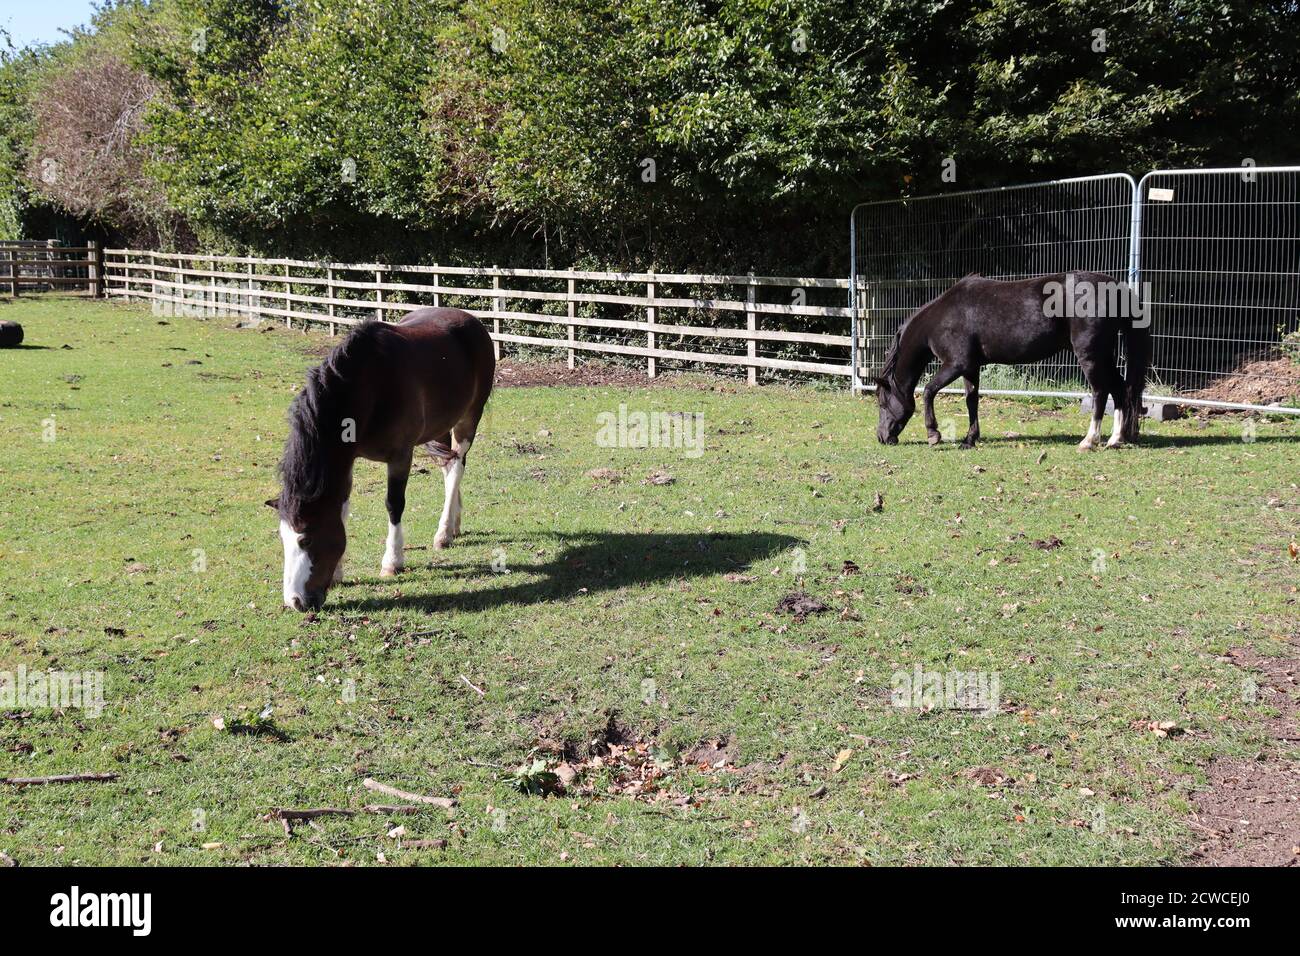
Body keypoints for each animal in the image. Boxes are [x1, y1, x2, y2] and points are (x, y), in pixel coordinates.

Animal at [266, 308, 495, 612]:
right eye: (283, 539)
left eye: (306, 539)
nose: (295, 602)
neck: (370, 389)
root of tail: (471, 320)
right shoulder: (348, 460)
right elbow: (342, 508)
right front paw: (338, 573)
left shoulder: (400, 456)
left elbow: (393, 504)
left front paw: (392, 562)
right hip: (441, 428)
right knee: (449, 470)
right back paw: (454, 526)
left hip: (467, 420)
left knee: (456, 468)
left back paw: (444, 532)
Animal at [872, 272, 1150, 450]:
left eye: (882, 404)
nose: (882, 437)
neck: (942, 318)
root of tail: (1115, 287)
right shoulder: (971, 368)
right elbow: (971, 401)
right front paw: (970, 439)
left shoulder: (956, 364)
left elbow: (929, 391)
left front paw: (933, 434)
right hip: (1104, 355)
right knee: (1120, 389)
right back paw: (1115, 439)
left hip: (1090, 355)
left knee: (1101, 392)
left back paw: (1089, 441)